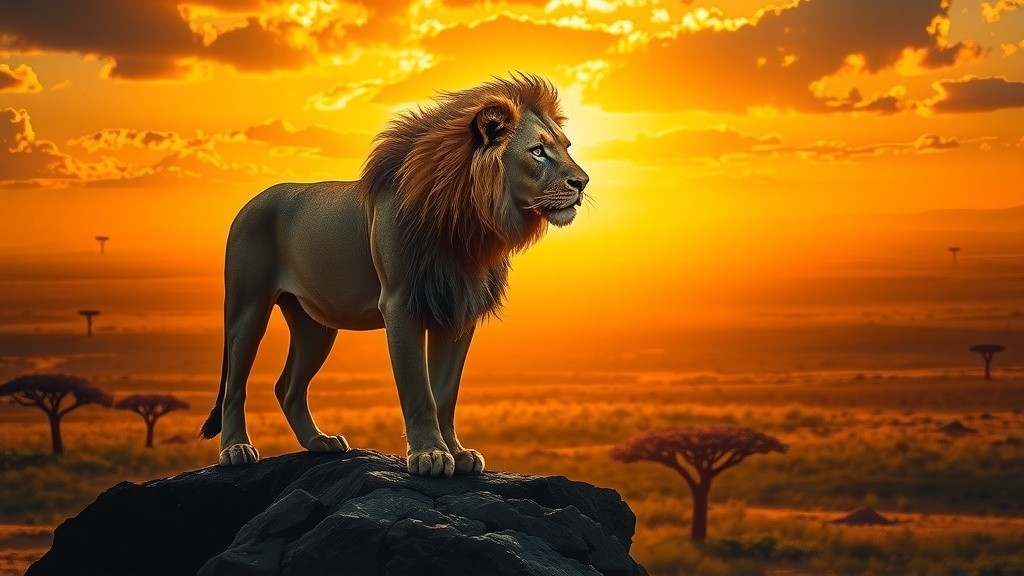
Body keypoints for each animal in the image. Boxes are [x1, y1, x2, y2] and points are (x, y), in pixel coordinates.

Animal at [199, 74, 589, 477]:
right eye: (537, 151)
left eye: (565, 146)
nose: (583, 182)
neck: (469, 223)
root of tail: (249, 203)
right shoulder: (402, 304)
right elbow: (418, 389)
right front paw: (430, 455)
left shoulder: (457, 310)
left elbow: (444, 393)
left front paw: (457, 452)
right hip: (248, 306)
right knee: (235, 385)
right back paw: (236, 450)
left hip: (315, 324)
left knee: (287, 386)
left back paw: (320, 442)